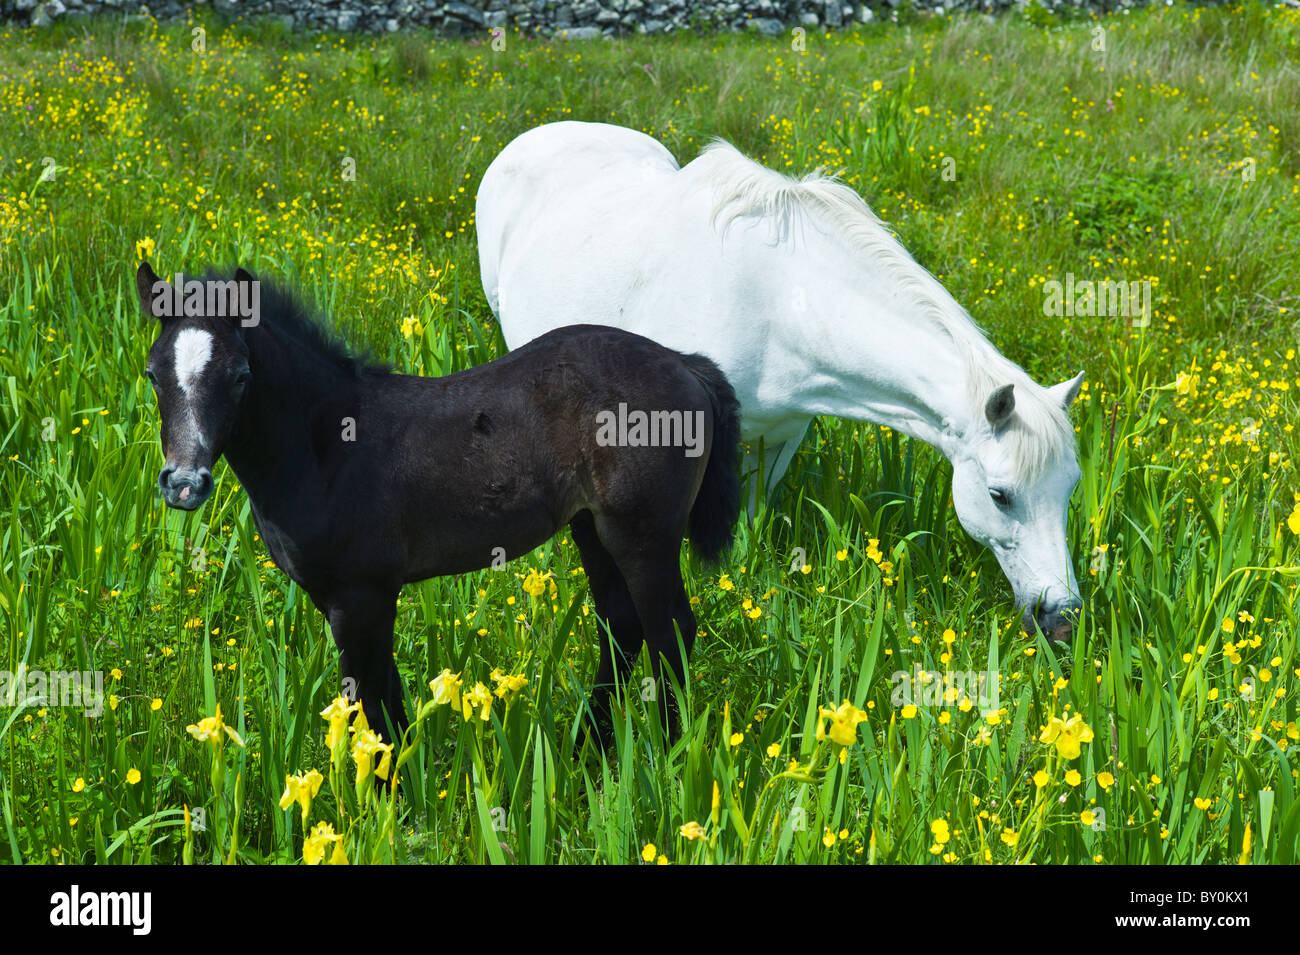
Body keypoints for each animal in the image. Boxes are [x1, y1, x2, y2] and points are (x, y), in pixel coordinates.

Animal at [478, 119, 1086, 641]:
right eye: (1000, 495)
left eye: (1070, 487)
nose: (1061, 618)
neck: (774, 304)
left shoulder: (779, 435)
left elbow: (749, 523)